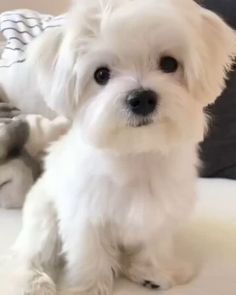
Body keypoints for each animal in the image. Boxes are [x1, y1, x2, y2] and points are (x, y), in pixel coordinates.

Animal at [0, 0, 235, 294]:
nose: (141, 98)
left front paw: (154, 271)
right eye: (101, 74)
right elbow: (90, 253)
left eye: (169, 63)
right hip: (43, 213)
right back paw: (31, 281)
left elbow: (155, 242)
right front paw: (90, 287)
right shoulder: (84, 214)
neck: (136, 153)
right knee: (32, 251)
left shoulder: (162, 211)